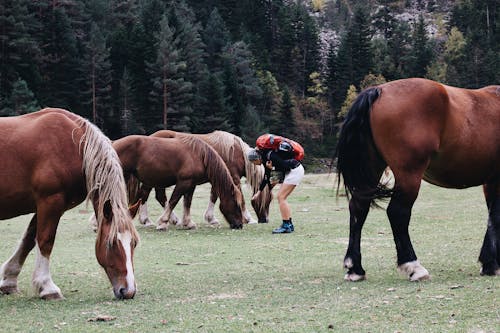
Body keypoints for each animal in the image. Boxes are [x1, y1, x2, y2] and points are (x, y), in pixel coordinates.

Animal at [0, 108, 139, 298]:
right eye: (110, 244)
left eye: (134, 243)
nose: (128, 291)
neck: (75, 147)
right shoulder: (50, 201)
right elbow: (45, 240)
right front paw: (47, 287)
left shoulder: (44, 204)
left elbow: (28, 240)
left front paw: (9, 280)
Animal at [114, 134, 246, 230]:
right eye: (237, 204)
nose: (239, 225)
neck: (199, 156)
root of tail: (114, 143)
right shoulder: (183, 183)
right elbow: (174, 201)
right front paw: (163, 222)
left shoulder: (191, 184)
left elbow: (187, 202)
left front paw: (188, 223)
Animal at [135, 130, 272, 226]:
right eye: (269, 199)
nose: (265, 219)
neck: (236, 152)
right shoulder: (234, 178)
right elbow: (241, 199)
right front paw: (249, 218)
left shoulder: (219, 179)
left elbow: (214, 196)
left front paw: (210, 218)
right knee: (145, 194)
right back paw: (146, 220)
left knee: (159, 197)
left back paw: (173, 220)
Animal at [334, 77, 500, 280]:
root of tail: (379, 90)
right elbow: (496, 217)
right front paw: (491, 263)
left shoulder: (491, 180)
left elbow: (492, 216)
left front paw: (489, 263)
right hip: (409, 175)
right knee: (397, 213)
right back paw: (413, 266)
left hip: (372, 170)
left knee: (359, 208)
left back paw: (355, 268)